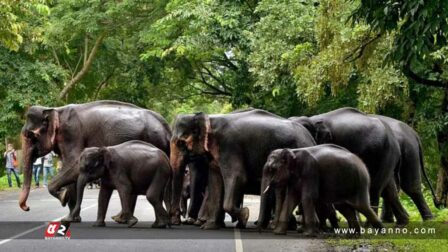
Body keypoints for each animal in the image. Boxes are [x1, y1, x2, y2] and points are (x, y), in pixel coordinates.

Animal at [19, 100, 171, 220]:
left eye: (29, 135)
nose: (27, 208)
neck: (55, 109)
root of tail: (166, 128)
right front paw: (72, 215)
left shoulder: (72, 134)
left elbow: (72, 164)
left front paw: (64, 200)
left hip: (153, 140)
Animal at [169, 108, 316, 228]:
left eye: (180, 142)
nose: (176, 221)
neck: (209, 118)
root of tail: (311, 138)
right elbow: (215, 181)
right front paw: (209, 226)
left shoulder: (229, 147)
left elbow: (237, 176)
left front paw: (245, 216)